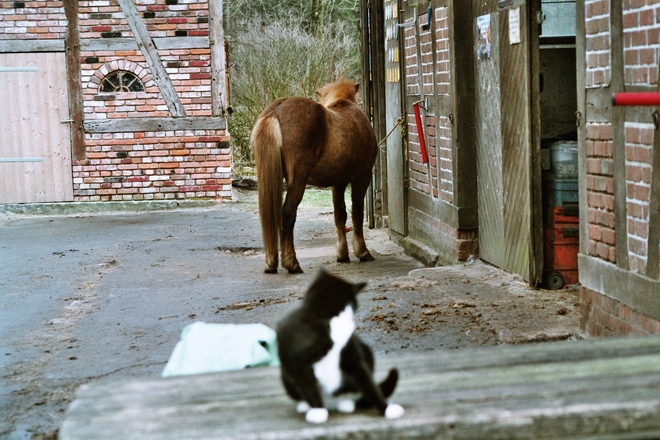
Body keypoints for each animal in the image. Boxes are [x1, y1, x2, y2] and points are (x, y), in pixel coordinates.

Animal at [251, 78, 378, 272]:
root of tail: (276, 111)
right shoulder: (362, 178)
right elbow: (357, 213)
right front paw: (362, 252)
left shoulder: (338, 183)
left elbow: (340, 214)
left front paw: (342, 254)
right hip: (298, 180)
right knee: (288, 212)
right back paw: (292, 263)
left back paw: (271, 263)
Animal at [274, 266, 402, 424]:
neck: (327, 317)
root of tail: (331, 402)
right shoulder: (299, 361)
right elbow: (309, 386)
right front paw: (317, 411)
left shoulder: (351, 354)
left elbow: (368, 383)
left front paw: (387, 408)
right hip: (285, 373)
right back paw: (305, 405)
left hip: (366, 351)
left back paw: (346, 403)